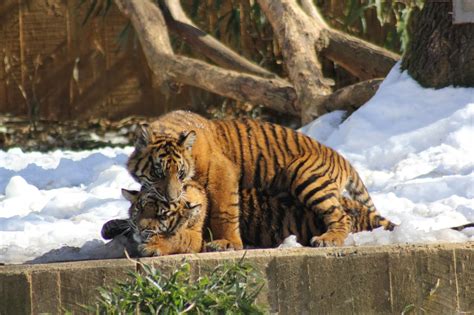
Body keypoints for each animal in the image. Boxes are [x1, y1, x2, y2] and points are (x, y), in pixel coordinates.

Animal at [126, 111, 386, 252]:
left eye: (180, 173)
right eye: (158, 173)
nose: (172, 197)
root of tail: (341, 157)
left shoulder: (223, 173)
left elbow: (225, 210)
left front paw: (228, 243)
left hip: (305, 176)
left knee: (341, 215)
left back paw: (328, 239)